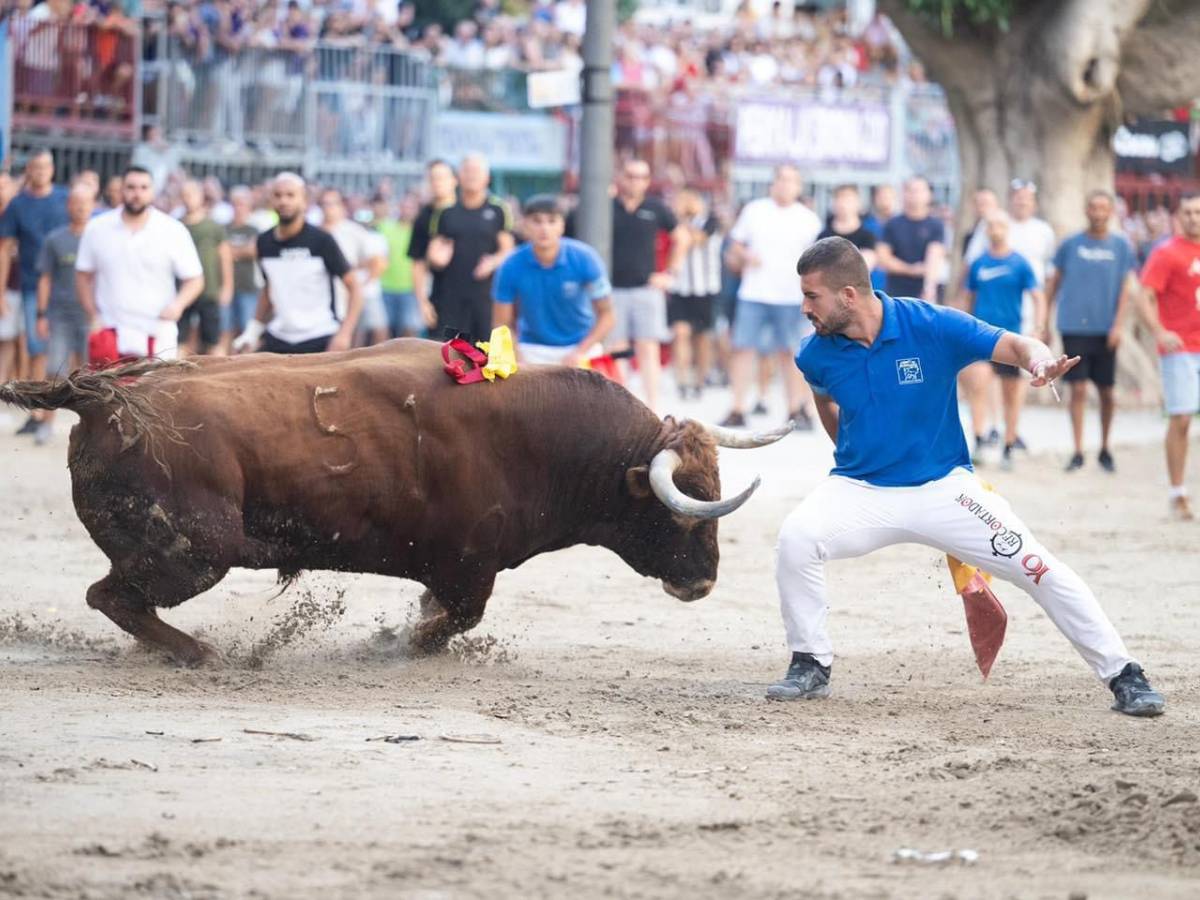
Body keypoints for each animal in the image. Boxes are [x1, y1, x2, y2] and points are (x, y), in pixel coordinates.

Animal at [0, 340, 792, 667]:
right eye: (680, 507)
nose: (704, 582)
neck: (542, 435)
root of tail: (103, 398)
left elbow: (440, 614)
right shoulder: (469, 568)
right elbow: (453, 621)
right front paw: (395, 645)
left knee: (115, 598)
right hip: (196, 553)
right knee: (112, 596)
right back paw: (200, 654)